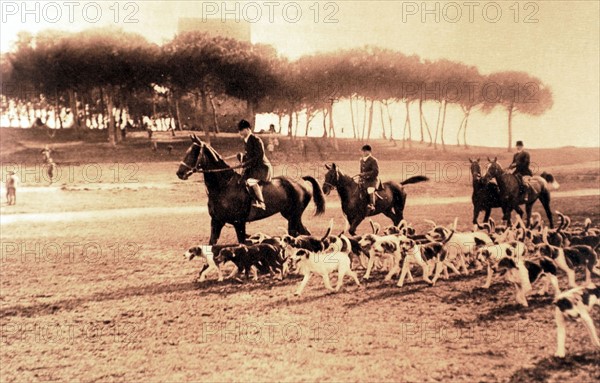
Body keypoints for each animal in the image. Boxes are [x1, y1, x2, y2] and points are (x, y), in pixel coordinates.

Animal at [176, 135, 326, 243]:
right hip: (290, 215)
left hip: (294, 215)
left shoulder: (239, 223)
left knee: (297, 233)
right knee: (303, 233)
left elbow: (242, 244)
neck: (223, 187)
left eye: (194, 153)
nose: (180, 173)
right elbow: (211, 244)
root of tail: (301, 181)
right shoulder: (216, 222)